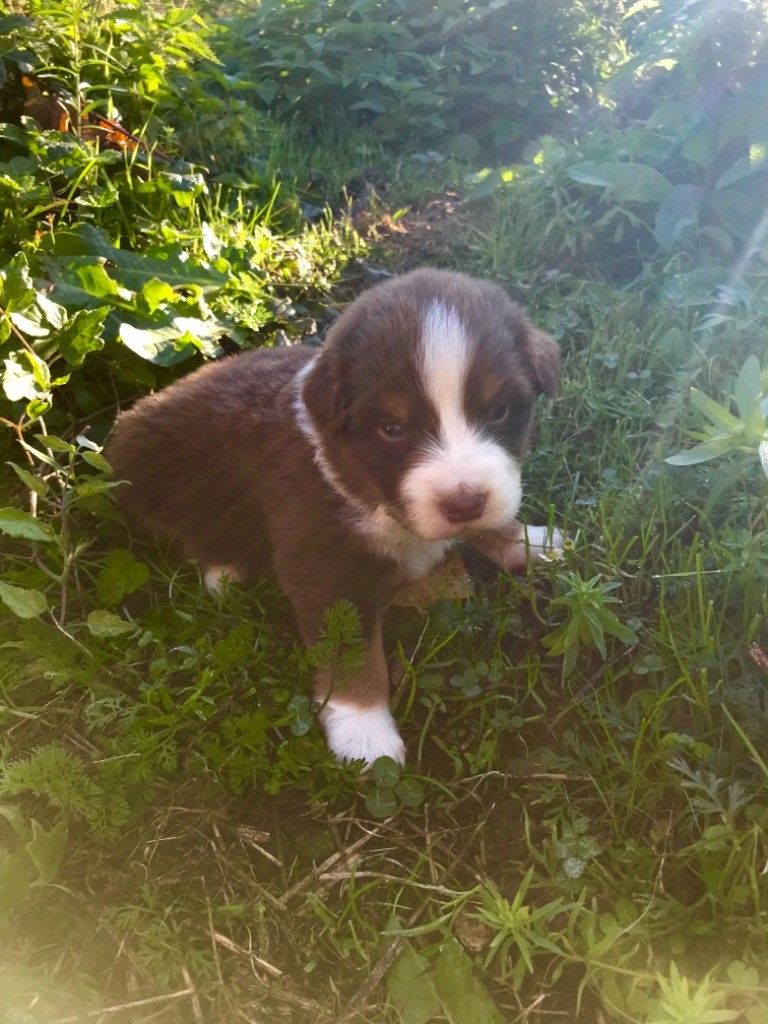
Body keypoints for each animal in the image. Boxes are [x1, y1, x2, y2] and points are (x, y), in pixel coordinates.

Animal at [108, 268, 561, 767]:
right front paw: (366, 736)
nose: (463, 504)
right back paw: (224, 570)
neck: (371, 495)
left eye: (499, 410)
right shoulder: (324, 561)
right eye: (392, 429)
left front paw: (530, 541)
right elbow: (352, 652)